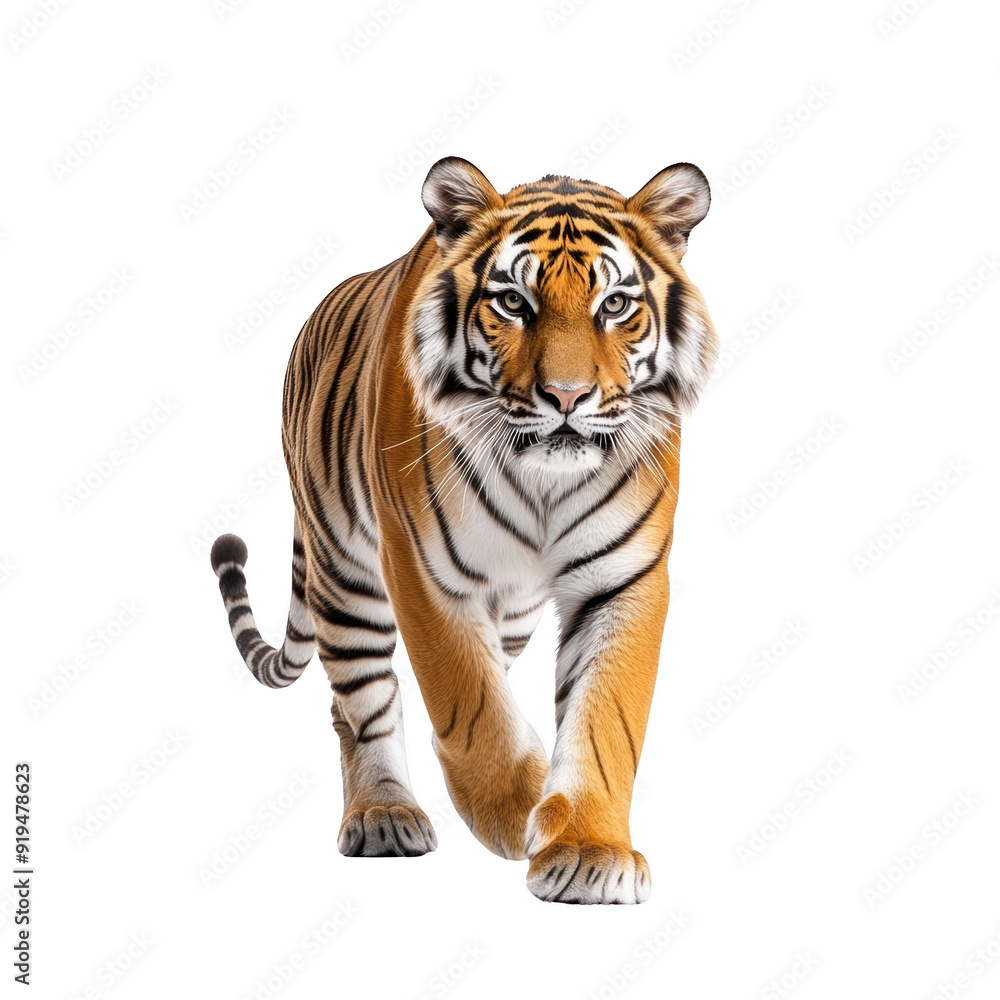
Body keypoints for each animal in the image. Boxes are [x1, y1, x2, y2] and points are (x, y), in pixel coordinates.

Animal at [210, 156, 717, 904]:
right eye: (513, 302)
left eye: (615, 305)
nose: (567, 397)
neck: (543, 482)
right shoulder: (423, 571)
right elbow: (469, 704)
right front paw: (521, 809)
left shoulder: (624, 578)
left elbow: (605, 720)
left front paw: (587, 849)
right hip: (345, 575)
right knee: (359, 703)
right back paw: (383, 815)